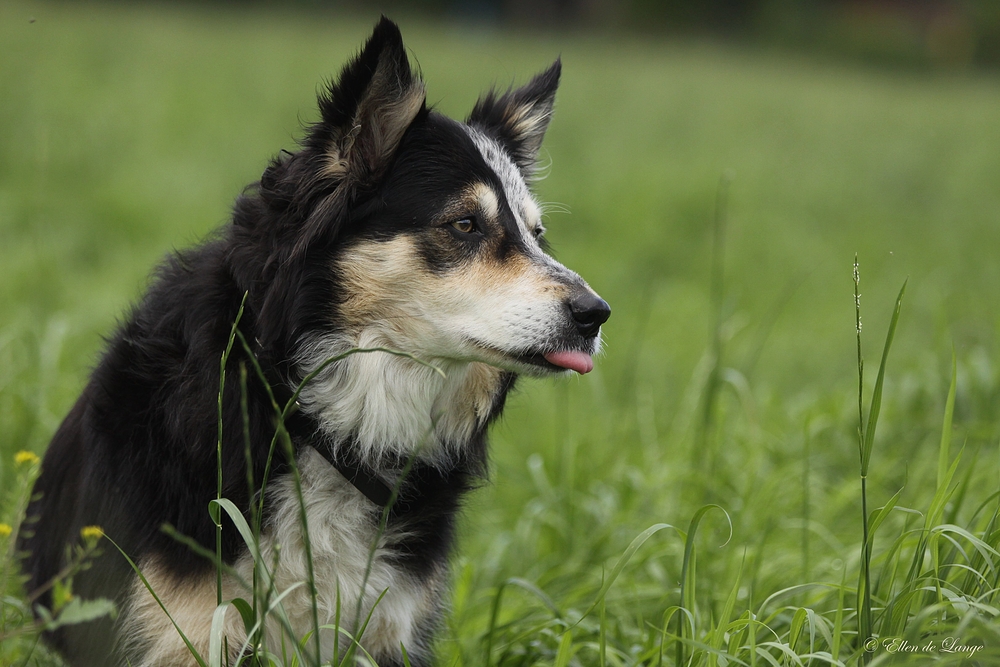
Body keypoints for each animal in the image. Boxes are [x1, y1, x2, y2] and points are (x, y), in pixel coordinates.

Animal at [21, 17, 608, 667]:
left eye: (537, 235)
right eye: (464, 224)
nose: (595, 314)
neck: (314, 417)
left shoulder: (388, 627)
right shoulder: (178, 626)